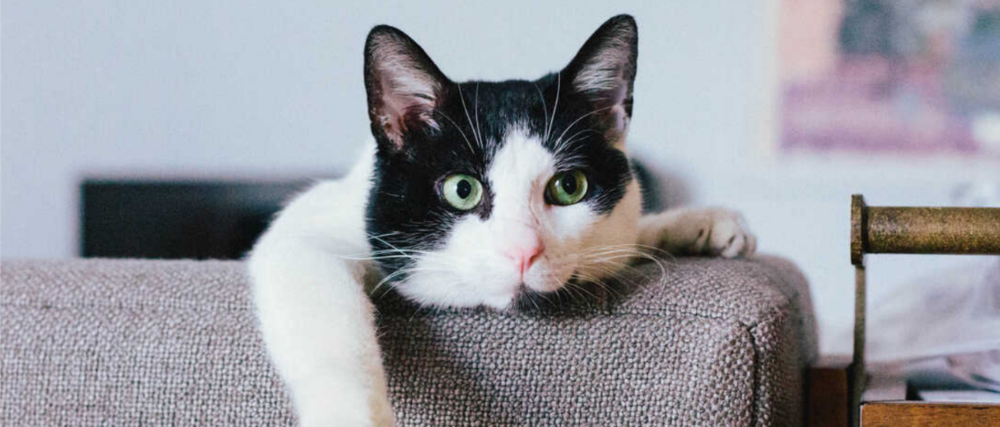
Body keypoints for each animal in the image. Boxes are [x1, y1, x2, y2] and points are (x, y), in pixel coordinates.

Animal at [248, 14, 752, 427]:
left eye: (570, 187)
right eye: (462, 189)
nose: (523, 250)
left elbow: (628, 240)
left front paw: (702, 225)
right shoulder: (306, 230)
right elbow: (327, 317)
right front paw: (351, 416)